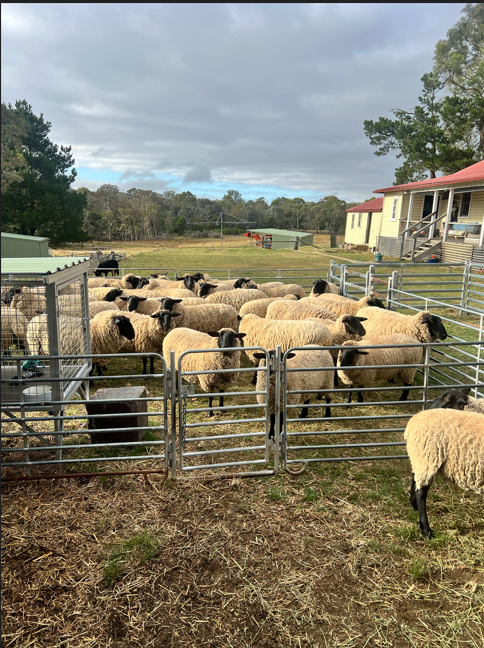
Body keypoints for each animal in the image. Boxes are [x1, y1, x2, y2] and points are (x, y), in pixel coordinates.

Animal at [404, 409, 484, 538]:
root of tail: (414, 420)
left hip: (420, 458)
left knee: (415, 478)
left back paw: (414, 505)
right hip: (428, 456)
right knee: (420, 492)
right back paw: (426, 531)